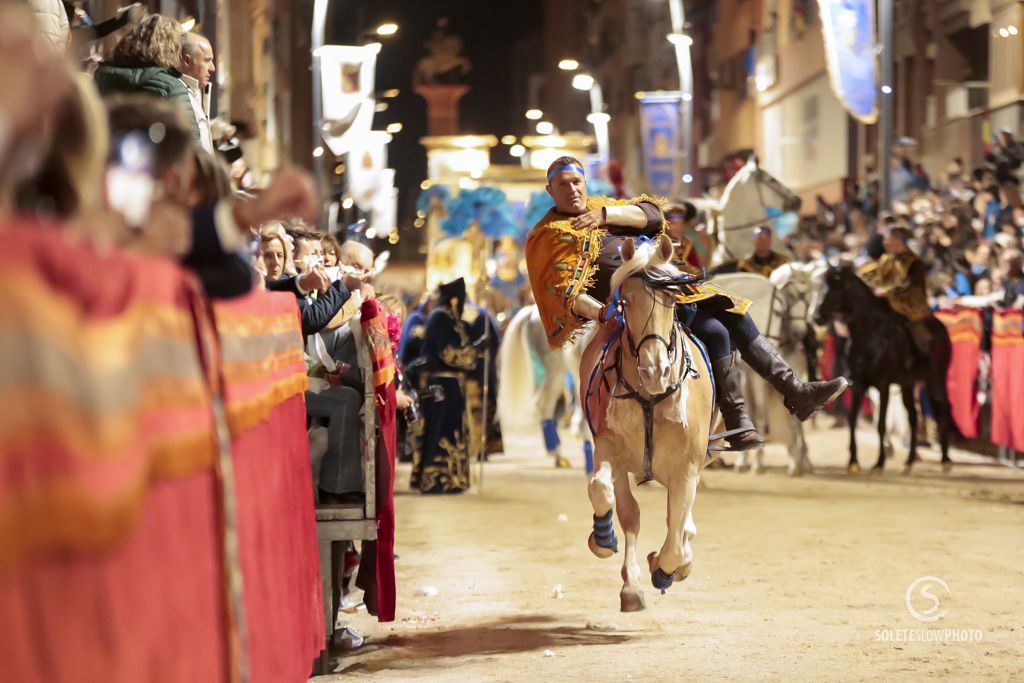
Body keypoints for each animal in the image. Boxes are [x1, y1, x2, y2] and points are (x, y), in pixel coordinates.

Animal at [581, 236, 716, 614]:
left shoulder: (686, 469)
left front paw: (667, 568)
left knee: (679, 524)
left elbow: (675, 535)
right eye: (625, 302)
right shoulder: (610, 449)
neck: (650, 398)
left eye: (671, 299)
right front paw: (603, 540)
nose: (655, 370)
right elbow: (605, 492)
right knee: (631, 513)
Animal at [811, 264, 954, 473]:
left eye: (835, 288)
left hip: (935, 380)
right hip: (907, 384)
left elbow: (880, 424)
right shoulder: (858, 384)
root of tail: (941, 328)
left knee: (943, 410)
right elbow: (852, 418)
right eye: (822, 285)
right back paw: (910, 461)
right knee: (913, 417)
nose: (818, 317)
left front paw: (879, 463)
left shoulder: (883, 385)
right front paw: (853, 461)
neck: (868, 335)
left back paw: (945, 460)